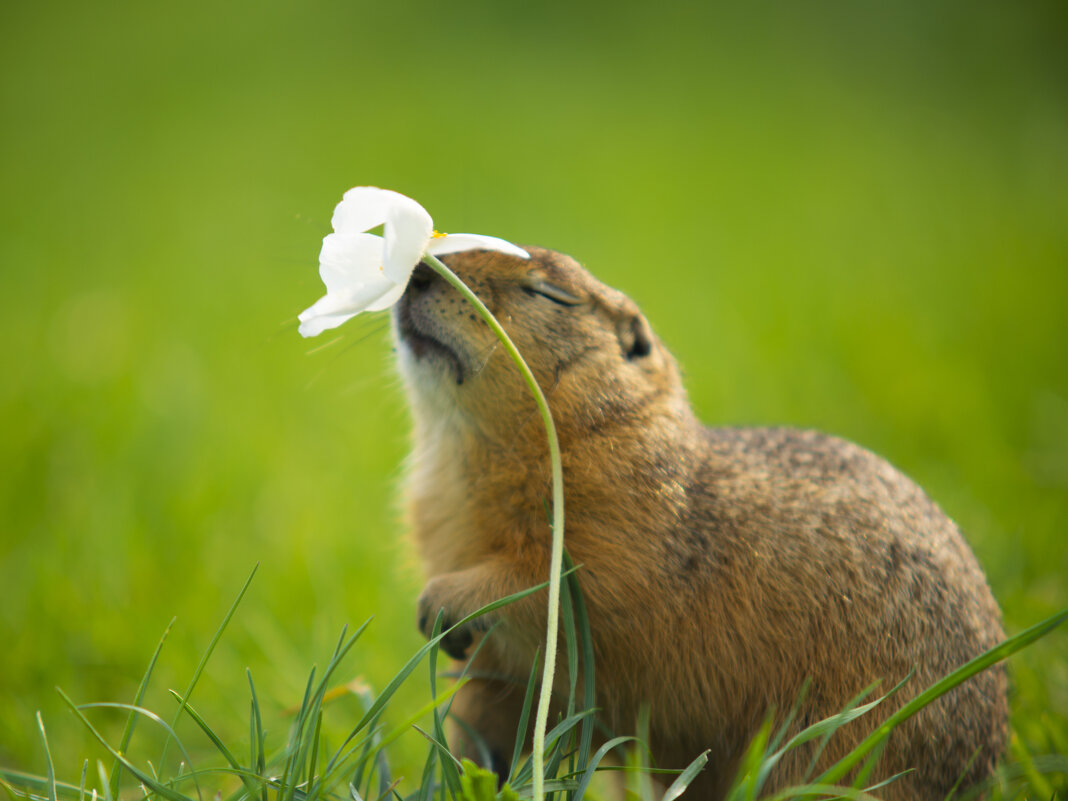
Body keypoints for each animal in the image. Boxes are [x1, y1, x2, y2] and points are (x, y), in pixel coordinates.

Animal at [393, 247, 1008, 798]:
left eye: (549, 293)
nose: (416, 270)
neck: (467, 451)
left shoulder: (620, 525)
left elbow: (557, 588)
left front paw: (438, 603)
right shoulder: (497, 666)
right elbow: (483, 718)